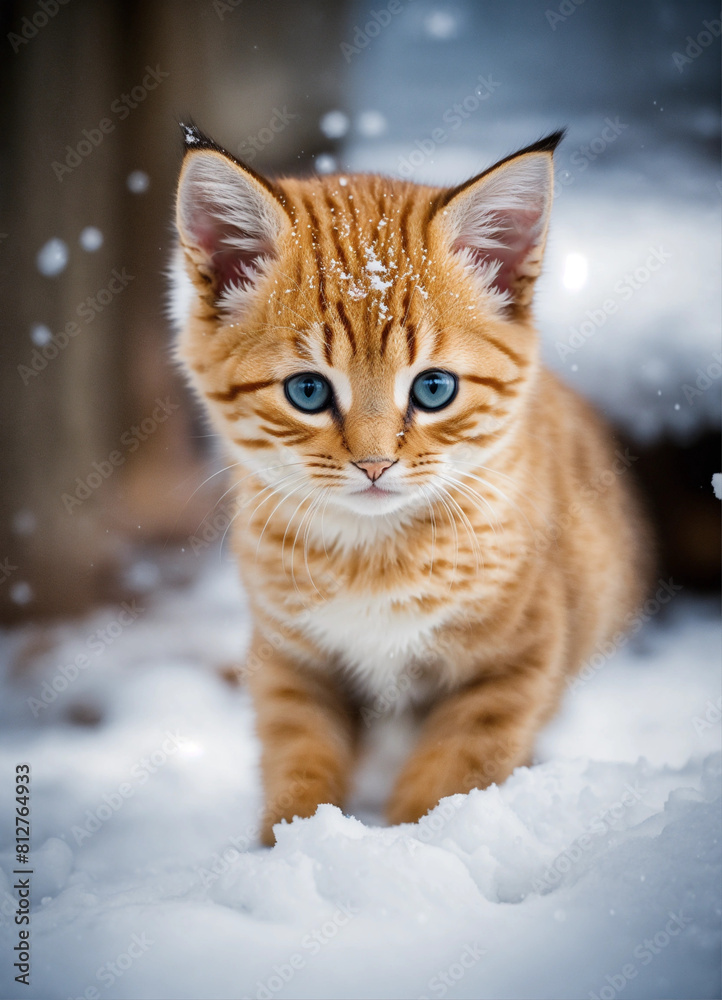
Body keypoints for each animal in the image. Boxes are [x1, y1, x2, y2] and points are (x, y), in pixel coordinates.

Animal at [170, 123, 648, 844]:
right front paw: (292, 845)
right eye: (307, 391)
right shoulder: (291, 661)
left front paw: (417, 846)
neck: (372, 554)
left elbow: (454, 776)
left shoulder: (516, 667)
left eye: (433, 388)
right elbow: (298, 761)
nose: (374, 465)